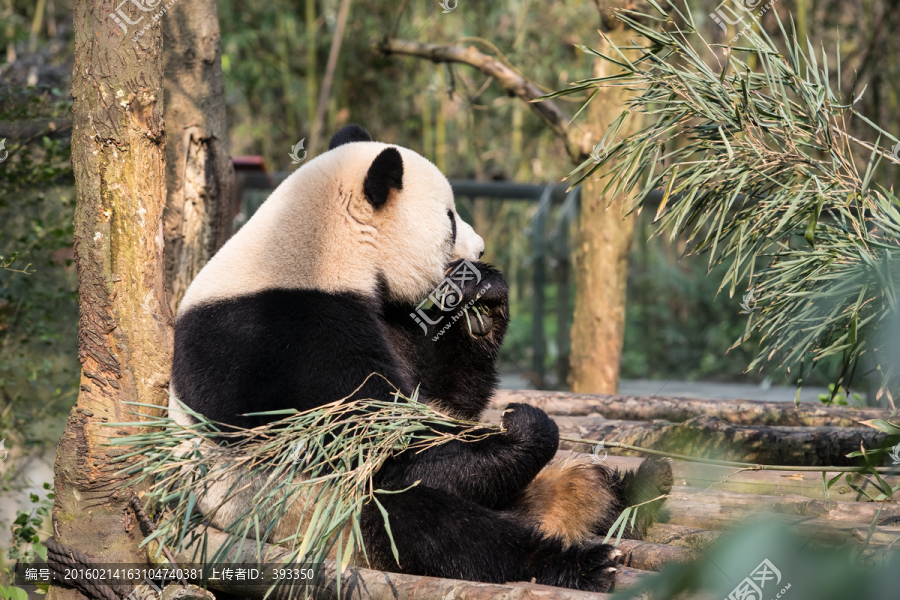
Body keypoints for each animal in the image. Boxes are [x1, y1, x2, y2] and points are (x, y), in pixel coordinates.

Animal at [172, 124, 672, 592]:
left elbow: (439, 399)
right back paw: (574, 563)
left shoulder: (388, 316)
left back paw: (636, 489)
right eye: (450, 220)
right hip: (317, 514)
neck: (318, 246)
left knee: (583, 474)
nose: (481, 247)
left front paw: (484, 297)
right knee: (423, 520)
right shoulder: (282, 335)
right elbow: (378, 440)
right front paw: (525, 427)